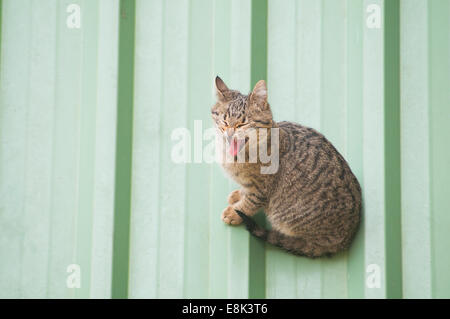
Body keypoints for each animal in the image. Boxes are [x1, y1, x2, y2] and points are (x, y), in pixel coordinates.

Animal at [211, 76, 362, 258]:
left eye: (242, 123)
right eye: (224, 121)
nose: (229, 134)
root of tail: (347, 238)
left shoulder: (261, 190)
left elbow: (249, 204)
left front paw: (234, 212)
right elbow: (244, 192)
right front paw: (237, 195)